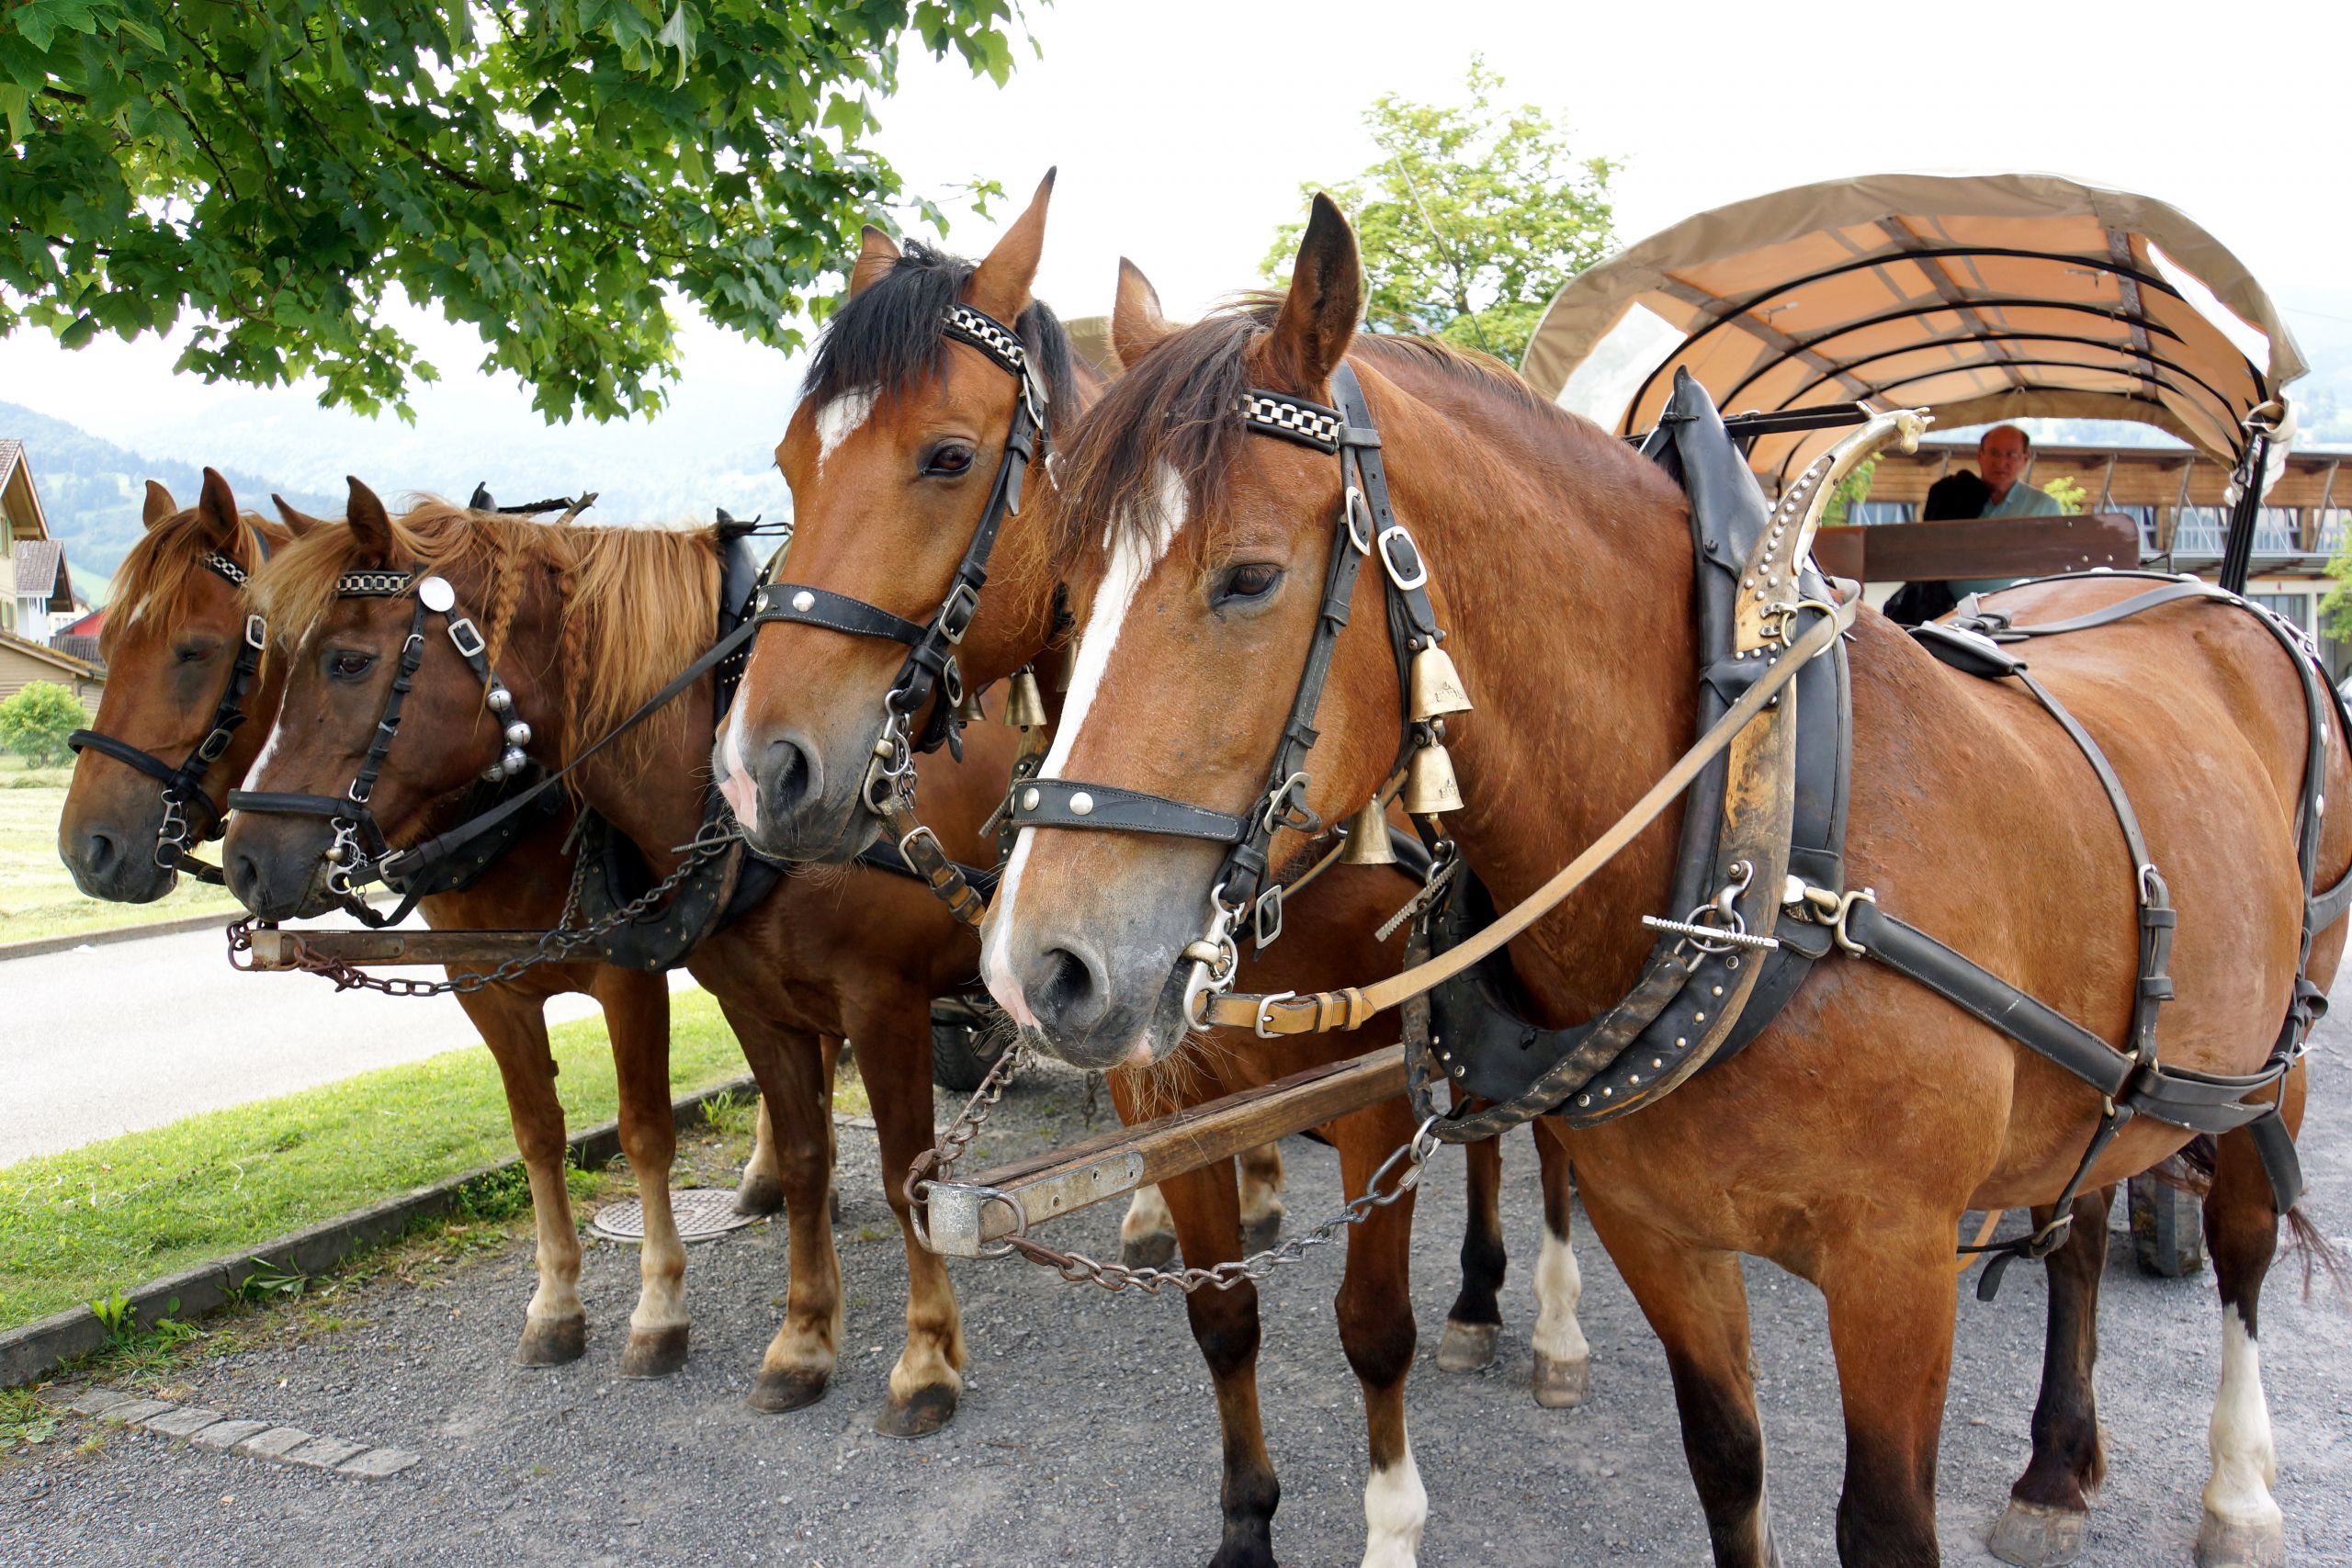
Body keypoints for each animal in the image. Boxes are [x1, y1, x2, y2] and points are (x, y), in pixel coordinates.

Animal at [52, 474, 790, 1372]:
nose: (87, 847)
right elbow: (536, 1132)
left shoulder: (628, 970)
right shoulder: (484, 984)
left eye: (193, 650)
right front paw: (556, 1301)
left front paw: (658, 1308)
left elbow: (644, 1131)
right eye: (111, 643)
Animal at [224, 486, 1015, 1438]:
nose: (245, 856)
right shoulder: (747, 997)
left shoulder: (877, 999)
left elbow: (906, 1181)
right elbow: (799, 1158)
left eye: (347, 661)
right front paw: (801, 1342)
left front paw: (926, 1359)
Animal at [715, 171, 1589, 1568]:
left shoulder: (1371, 1085)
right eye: (794, 462)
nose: (758, 771)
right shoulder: (1169, 1086)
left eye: (946, 456)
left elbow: (1370, 1328)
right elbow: (1220, 1316)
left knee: (1548, 1143)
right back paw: (1479, 1297)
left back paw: (1550, 1320)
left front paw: (1390, 1516)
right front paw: (1245, 1524)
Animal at [973, 196, 2333, 1568]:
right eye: (1069, 591)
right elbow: (1727, 1461)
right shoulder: (1661, 1231)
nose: (1039, 968)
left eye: (1248, 576)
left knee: (2243, 1241)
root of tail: (2190, 592)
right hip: (2103, 1075)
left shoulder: (1895, 1264)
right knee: (2082, 1216)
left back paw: (2239, 1489)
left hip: (2277, 1044)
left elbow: (1885, 1522)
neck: (1756, 852)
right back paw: (2057, 1464)